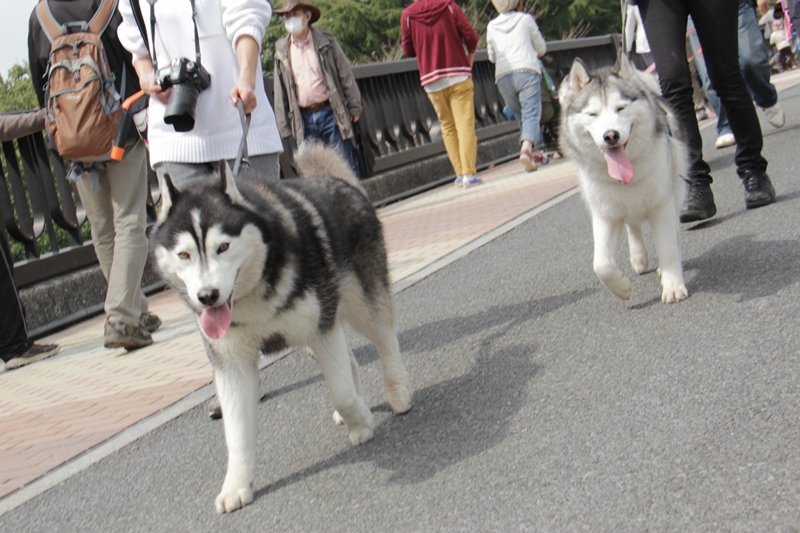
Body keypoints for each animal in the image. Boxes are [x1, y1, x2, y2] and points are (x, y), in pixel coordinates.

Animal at [152, 141, 412, 512]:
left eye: (223, 246)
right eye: (184, 255)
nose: (207, 296)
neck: (252, 294)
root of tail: (338, 181)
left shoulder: (321, 328)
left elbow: (342, 392)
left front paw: (360, 423)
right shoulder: (232, 361)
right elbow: (236, 431)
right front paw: (236, 485)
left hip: (359, 303)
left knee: (385, 338)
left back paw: (398, 392)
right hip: (318, 327)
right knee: (349, 359)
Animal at [560, 57, 692, 304]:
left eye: (621, 108)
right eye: (592, 114)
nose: (611, 135)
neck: (626, 177)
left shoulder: (662, 204)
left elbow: (668, 248)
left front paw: (672, 285)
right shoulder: (605, 214)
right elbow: (601, 264)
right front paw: (621, 288)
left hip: (676, 187)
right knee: (633, 225)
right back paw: (638, 257)